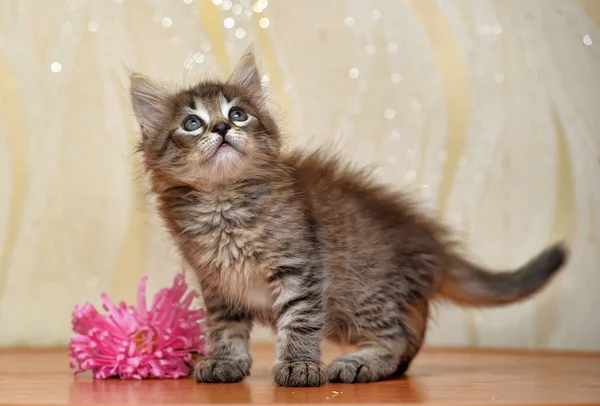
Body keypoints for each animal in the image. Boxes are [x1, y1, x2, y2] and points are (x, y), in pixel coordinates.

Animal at [130, 50, 568, 386]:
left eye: (238, 114)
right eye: (192, 123)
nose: (221, 128)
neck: (225, 206)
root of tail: (428, 241)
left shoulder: (302, 266)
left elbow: (300, 320)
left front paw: (299, 366)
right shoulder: (218, 283)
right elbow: (225, 326)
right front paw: (227, 361)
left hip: (364, 293)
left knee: (397, 338)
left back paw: (361, 363)